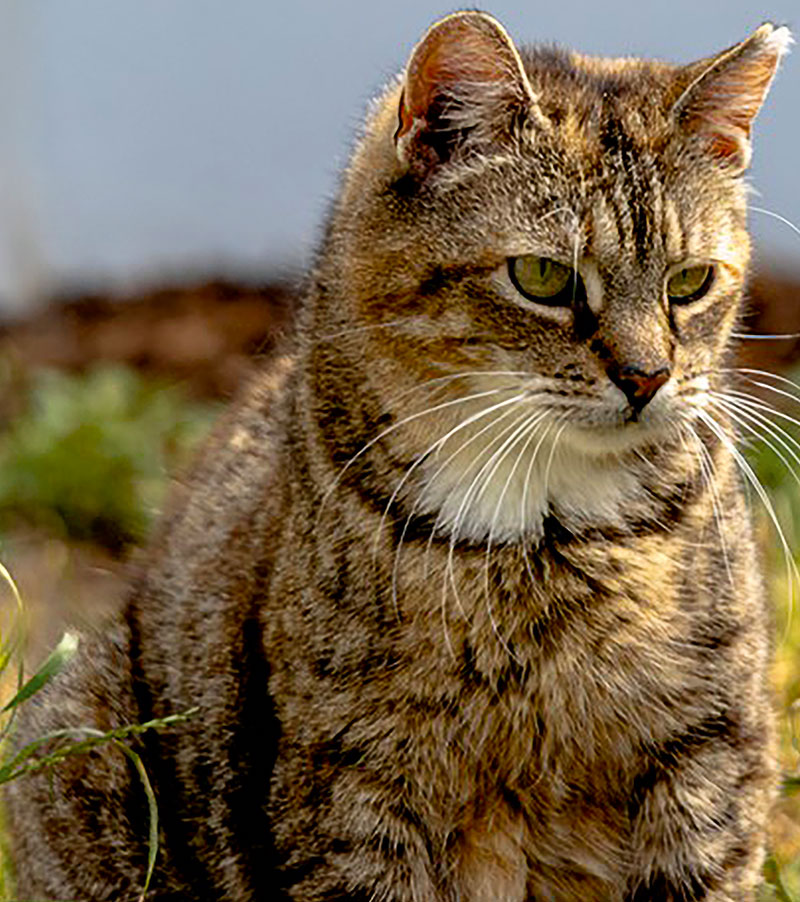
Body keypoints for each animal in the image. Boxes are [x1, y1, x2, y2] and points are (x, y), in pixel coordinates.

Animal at [4, 8, 792, 902]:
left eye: (690, 283)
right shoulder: (354, 782)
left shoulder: (709, 755)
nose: (648, 376)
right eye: (543, 277)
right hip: (78, 733)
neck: (550, 533)